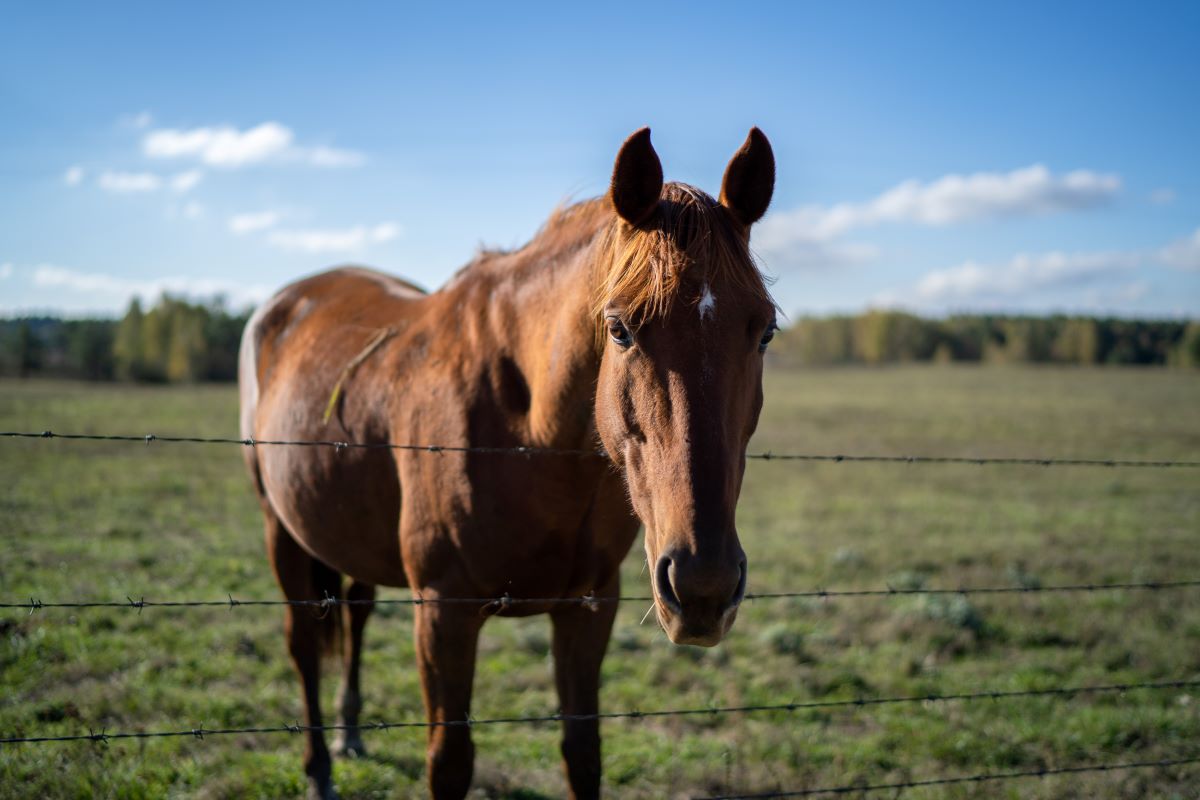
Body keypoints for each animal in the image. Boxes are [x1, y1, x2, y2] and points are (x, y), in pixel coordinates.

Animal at [237, 128, 777, 796]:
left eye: (765, 331)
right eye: (620, 329)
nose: (703, 586)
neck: (530, 435)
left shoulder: (588, 608)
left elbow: (583, 753)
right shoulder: (442, 614)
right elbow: (449, 760)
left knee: (354, 616)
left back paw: (351, 733)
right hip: (280, 530)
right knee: (305, 643)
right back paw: (318, 769)